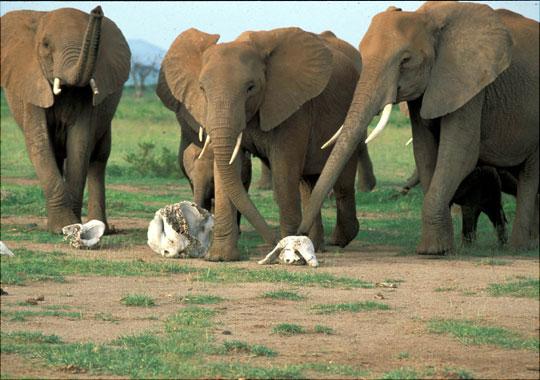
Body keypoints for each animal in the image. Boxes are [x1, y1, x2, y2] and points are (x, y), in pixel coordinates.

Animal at [0, 7, 131, 233]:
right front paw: (63, 226)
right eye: (45, 45)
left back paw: (102, 228)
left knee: (99, 158)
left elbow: (79, 145)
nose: (97, 10)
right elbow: (39, 144)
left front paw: (72, 226)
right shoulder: (32, 84)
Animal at [156, 27, 376, 262]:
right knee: (308, 183)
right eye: (202, 88)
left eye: (251, 87)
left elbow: (283, 173)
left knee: (341, 181)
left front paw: (291, 254)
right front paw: (220, 258)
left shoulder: (293, 107)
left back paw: (338, 239)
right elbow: (227, 169)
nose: (274, 242)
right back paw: (315, 245)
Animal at [300, 2, 540, 255]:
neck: (428, 17)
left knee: (529, 175)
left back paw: (519, 248)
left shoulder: (471, 86)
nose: (299, 233)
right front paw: (439, 247)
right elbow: (424, 152)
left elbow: (459, 155)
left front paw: (433, 251)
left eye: (405, 60)